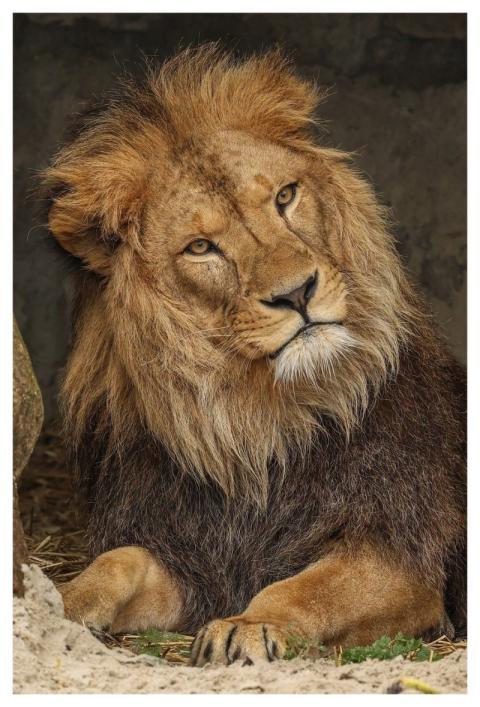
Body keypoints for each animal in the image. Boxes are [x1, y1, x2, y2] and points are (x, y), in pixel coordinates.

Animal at [40, 45, 466, 666]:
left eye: (285, 197)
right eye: (201, 247)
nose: (297, 292)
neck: (257, 425)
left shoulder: (402, 556)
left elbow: (303, 588)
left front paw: (250, 625)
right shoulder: (190, 558)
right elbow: (117, 563)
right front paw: (56, 604)